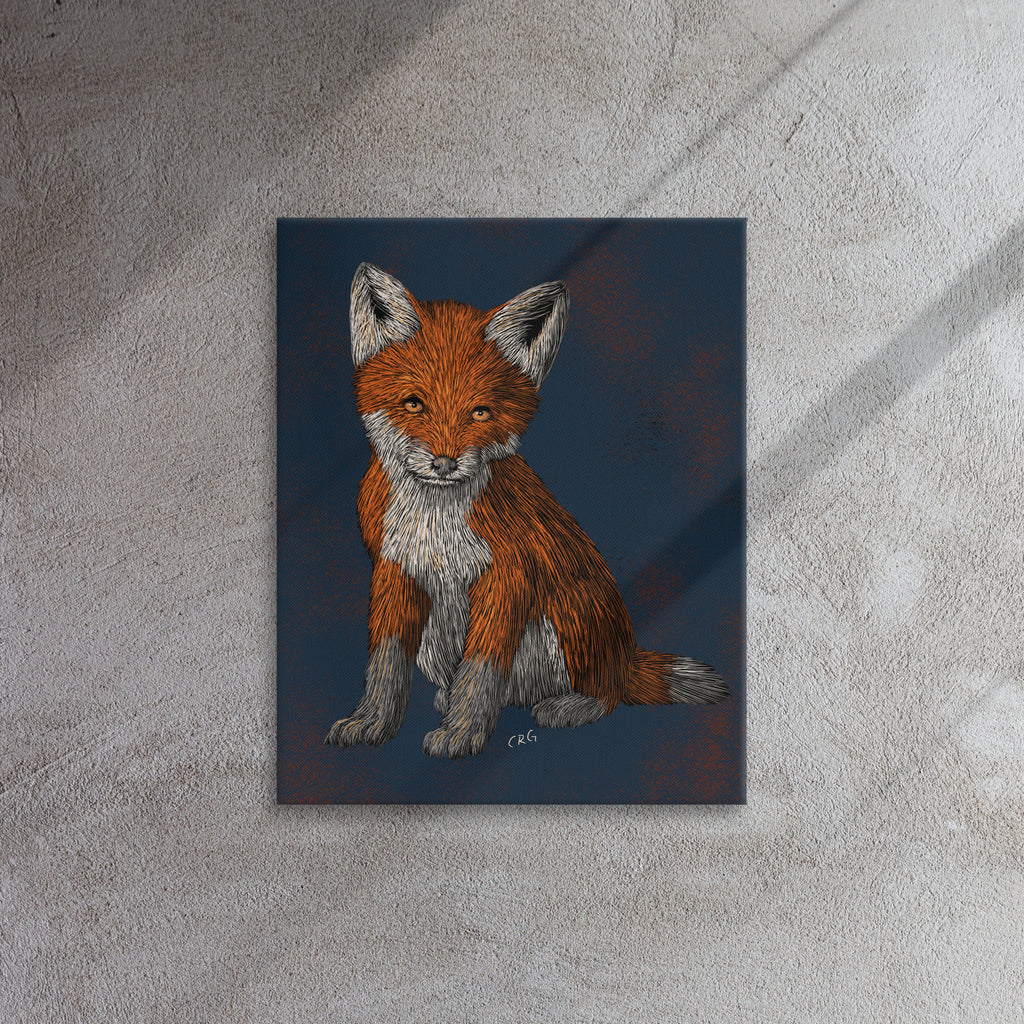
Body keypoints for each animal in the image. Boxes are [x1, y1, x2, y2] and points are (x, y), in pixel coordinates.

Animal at [325, 262, 728, 759]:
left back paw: (569, 705)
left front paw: (463, 732)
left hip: (571, 616)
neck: (436, 522)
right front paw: (373, 722)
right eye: (413, 403)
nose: (444, 463)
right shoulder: (393, 569)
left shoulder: (509, 575)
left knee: (607, 694)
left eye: (480, 413)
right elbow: (385, 663)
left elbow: (481, 668)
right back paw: (451, 698)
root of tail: (626, 655)